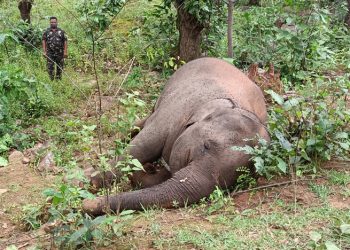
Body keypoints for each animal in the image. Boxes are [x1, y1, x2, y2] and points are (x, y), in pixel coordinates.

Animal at [83, 57, 270, 216]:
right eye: (206, 146)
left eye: (232, 181)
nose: (86, 204)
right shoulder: (174, 113)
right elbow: (141, 147)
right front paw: (86, 182)